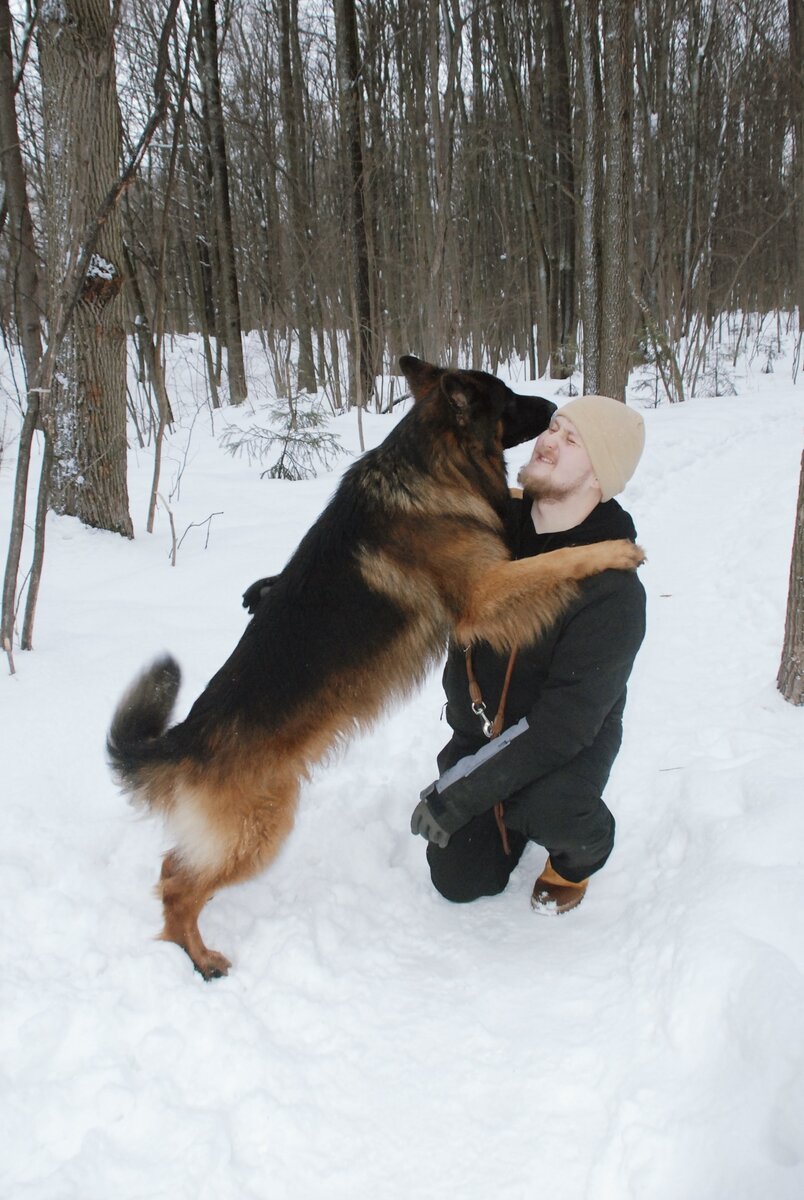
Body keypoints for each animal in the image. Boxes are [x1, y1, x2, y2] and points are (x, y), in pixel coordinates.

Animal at [108, 355, 648, 974]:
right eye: (510, 399)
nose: (558, 407)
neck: (433, 467)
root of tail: (187, 737)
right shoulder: (485, 593)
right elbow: (558, 559)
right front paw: (614, 550)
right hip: (260, 830)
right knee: (178, 886)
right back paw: (201, 961)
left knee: (171, 868)